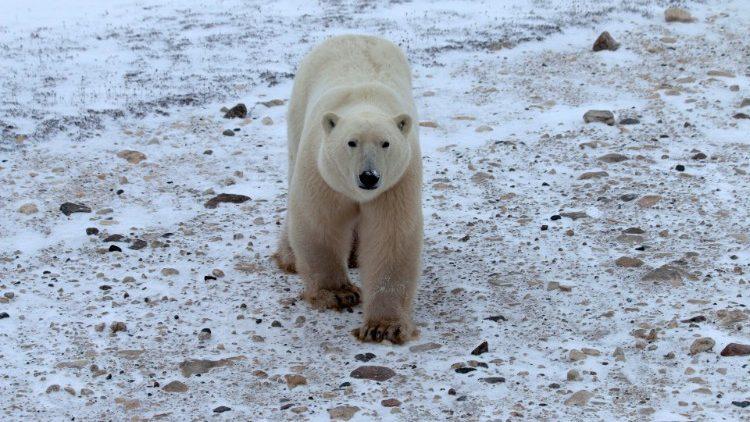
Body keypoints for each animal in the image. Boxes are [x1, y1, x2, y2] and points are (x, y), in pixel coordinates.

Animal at [274, 33, 424, 342]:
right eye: (351, 142)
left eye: (385, 143)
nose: (369, 177)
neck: (365, 101)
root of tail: (353, 35)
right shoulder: (322, 172)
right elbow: (319, 223)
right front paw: (338, 294)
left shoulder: (397, 182)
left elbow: (390, 237)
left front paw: (383, 327)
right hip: (298, 115)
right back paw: (289, 257)